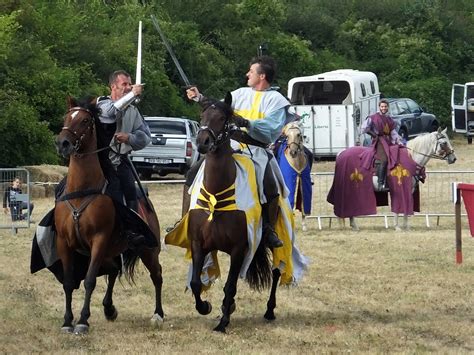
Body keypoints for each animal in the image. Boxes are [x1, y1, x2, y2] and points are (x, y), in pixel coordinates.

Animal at [54, 96, 163, 334]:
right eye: (66, 117)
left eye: (85, 120)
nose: (63, 143)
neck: (82, 190)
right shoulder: (64, 243)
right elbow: (68, 282)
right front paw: (67, 321)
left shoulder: (99, 240)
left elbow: (89, 280)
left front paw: (83, 321)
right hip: (112, 251)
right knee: (114, 270)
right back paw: (109, 308)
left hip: (148, 250)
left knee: (157, 275)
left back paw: (158, 314)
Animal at [187, 95, 280, 334]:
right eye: (202, 115)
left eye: (222, 118)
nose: (203, 142)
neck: (218, 194)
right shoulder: (198, 244)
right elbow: (195, 283)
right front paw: (205, 307)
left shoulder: (240, 249)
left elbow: (230, 286)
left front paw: (223, 322)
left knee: (277, 270)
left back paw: (270, 310)